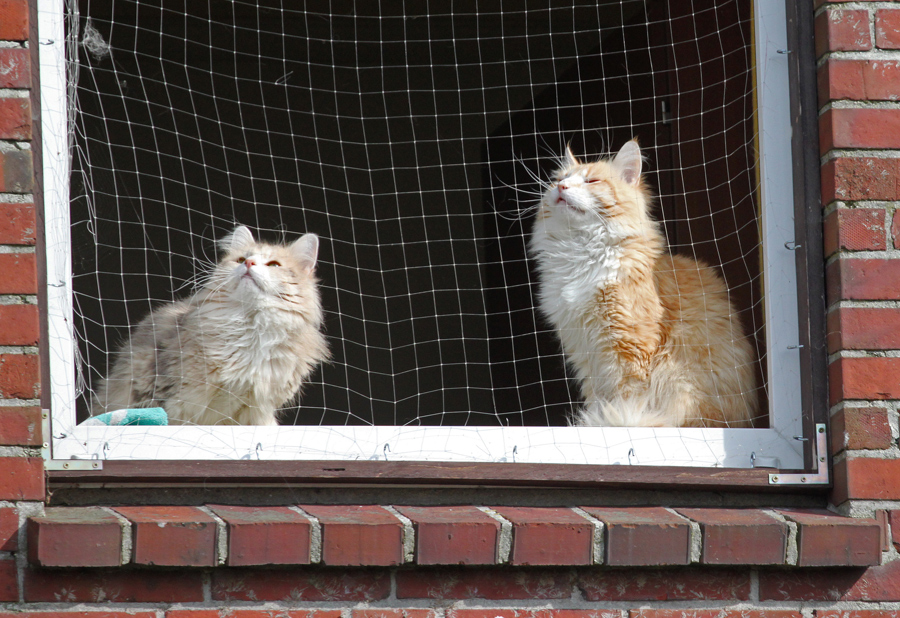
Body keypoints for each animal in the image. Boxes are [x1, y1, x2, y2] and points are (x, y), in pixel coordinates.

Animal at [90, 225, 330, 424]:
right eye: (241, 259)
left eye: (274, 265)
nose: (249, 264)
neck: (252, 328)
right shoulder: (166, 396)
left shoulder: (256, 410)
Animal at [532, 141, 756, 428]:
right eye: (559, 180)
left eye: (592, 181)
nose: (562, 188)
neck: (580, 253)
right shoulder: (586, 352)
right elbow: (598, 400)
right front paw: (599, 421)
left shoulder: (628, 350)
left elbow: (625, 399)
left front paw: (617, 421)